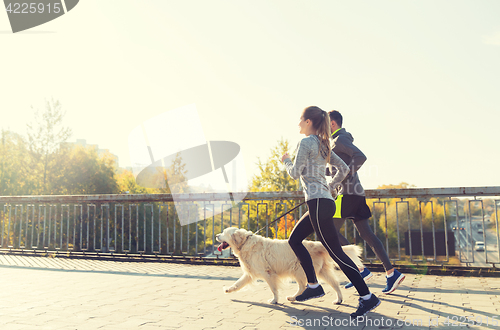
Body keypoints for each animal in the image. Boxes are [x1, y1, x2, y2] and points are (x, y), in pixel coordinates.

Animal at [216, 227, 364, 304]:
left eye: (224, 233)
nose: (217, 235)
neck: (245, 243)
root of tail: (315, 244)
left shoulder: (267, 273)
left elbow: (273, 289)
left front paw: (274, 300)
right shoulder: (250, 273)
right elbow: (238, 283)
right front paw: (228, 289)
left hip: (298, 271)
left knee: (303, 286)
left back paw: (294, 297)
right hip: (322, 271)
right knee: (335, 284)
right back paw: (338, 299)